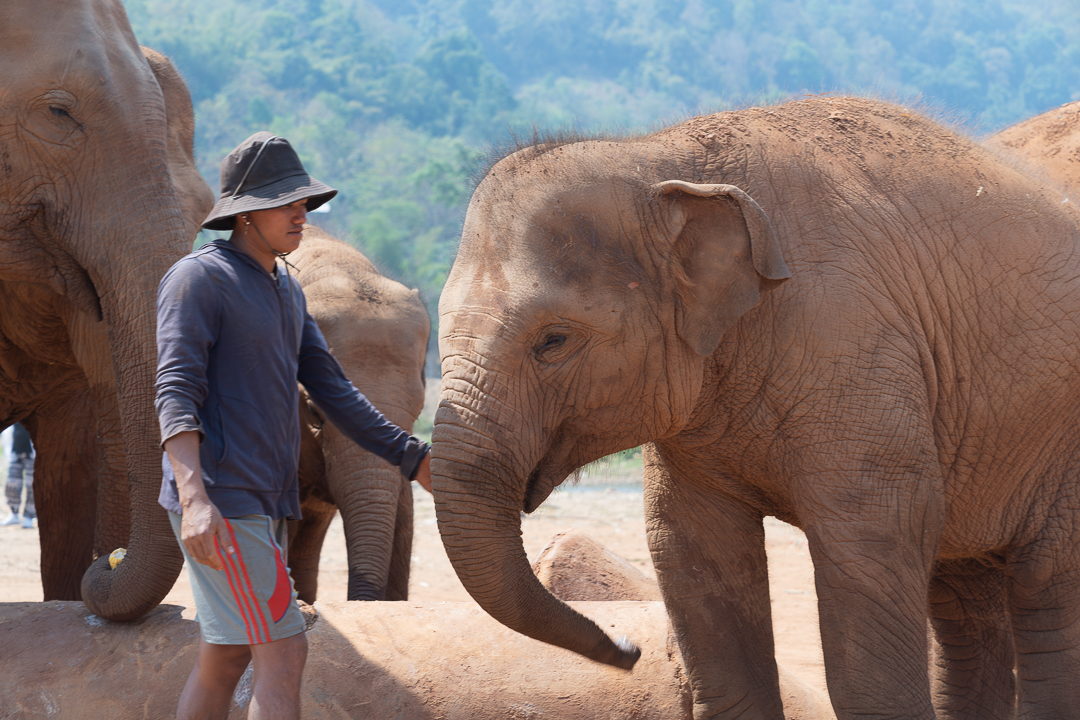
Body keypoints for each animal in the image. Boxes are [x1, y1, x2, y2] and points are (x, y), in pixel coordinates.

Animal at [432, 95, 1080, 720]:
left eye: (553, 341)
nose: (627, 649)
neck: (660, 158)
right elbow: (691, 547)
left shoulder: (854, 349)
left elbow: (874, 540)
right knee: (963, 599)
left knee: (1047, 585)